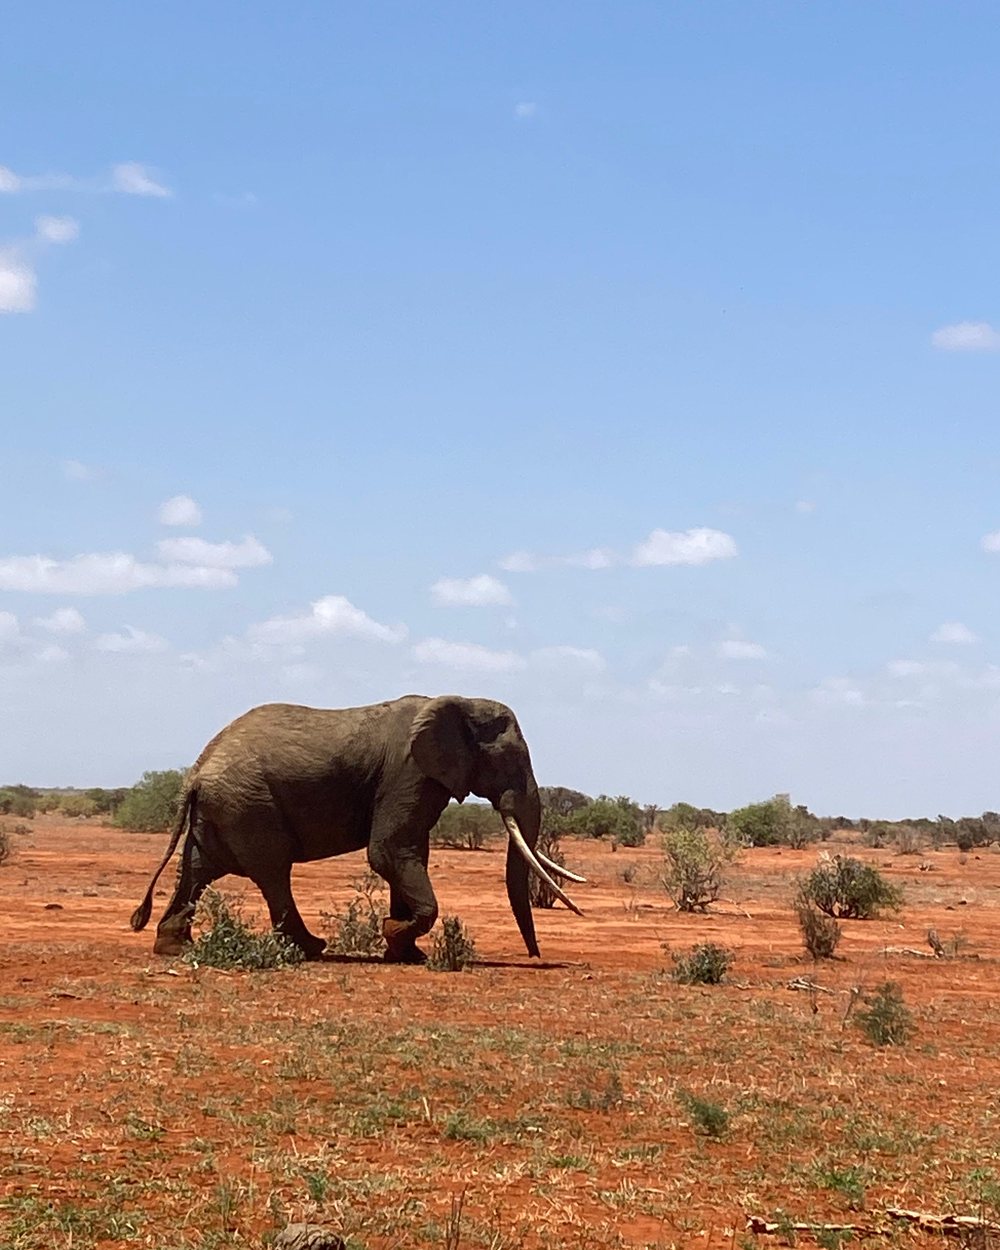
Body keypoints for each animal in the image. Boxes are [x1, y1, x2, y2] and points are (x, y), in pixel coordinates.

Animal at [130, 694, 584, 963]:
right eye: (509, 759)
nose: (536, 958)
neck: (458, 700)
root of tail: (196, 771)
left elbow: (409, 854)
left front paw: (406, 953)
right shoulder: (409, 773)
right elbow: (388, 852)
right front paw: (394, 933)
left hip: (223, 808)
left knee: (197, 869)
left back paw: (173, 947)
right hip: (248, 804)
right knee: (273, 873)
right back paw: (313, 948)